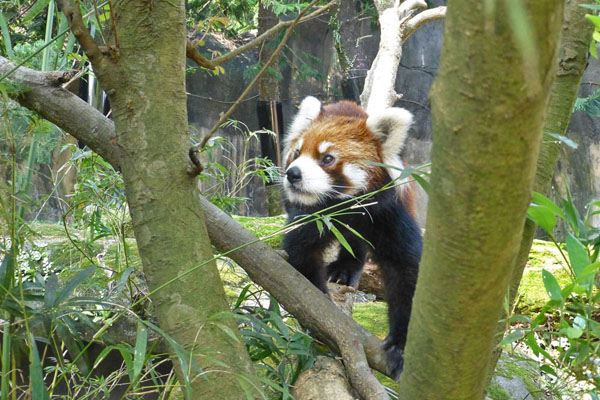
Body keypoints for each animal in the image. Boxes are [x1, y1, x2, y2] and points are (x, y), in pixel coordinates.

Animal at [282, 95, 420, 380]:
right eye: (298, 152)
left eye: (327, 158)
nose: (293, 174)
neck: (346, 207)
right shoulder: (314, 216)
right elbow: (300, 254)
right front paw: (315, 311)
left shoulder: (389, 214)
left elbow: (406, 272)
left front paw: (401, 348)